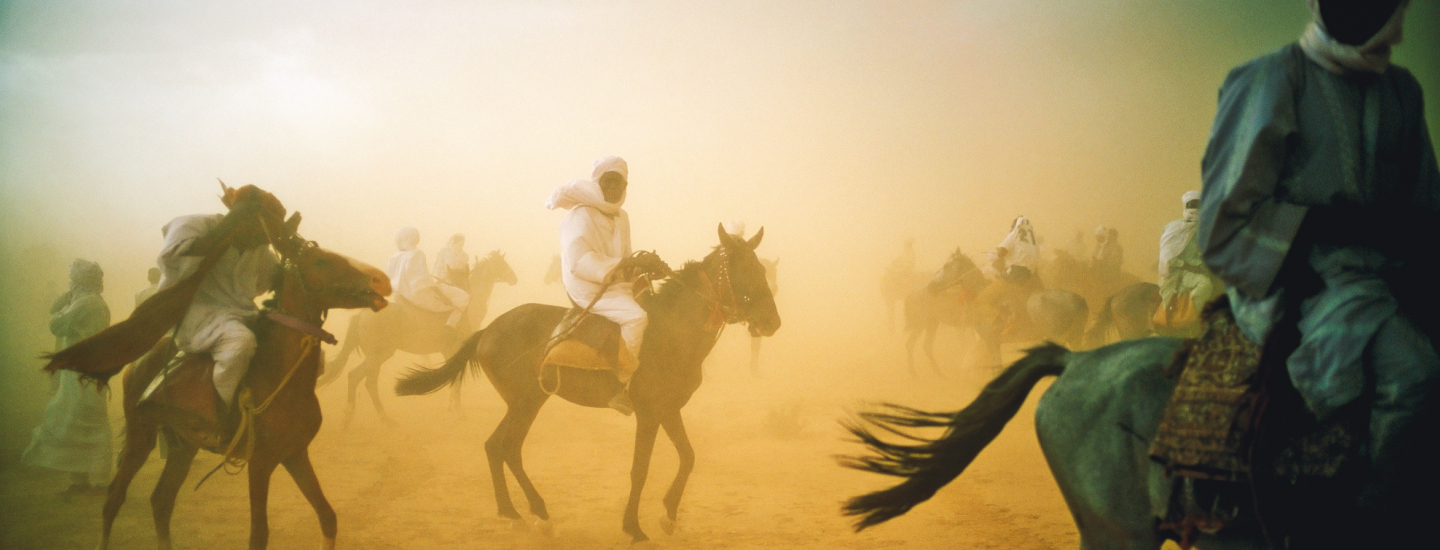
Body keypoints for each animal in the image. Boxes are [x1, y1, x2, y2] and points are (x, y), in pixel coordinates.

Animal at [97, 213, 391, 550]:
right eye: (321, 261)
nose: (381, 280)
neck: (282, 378)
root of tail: (138, 362)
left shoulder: (294, 454)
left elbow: (328, 517)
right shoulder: (260, 462)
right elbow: (259, 534)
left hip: (183, 444)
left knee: (161, 500)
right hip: (141, 433)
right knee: (114, 498)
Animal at [321, 249, 518, 420]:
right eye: (501, 263)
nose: (514, 278)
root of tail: (361, 315)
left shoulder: (449, 351)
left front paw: (452, 407)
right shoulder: (454, 348)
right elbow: (454, 379)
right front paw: (458, 411)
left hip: (375, 355)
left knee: (369, 382)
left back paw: (384, 419)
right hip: (380, 354)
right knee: (356, 377)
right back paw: (352, 417)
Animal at [394, 223, 783, 541]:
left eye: (762, 268)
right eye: (744, 269)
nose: (772, 322)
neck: (672, 331)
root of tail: (487, 330)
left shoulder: (668, 409)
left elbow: (688, 457)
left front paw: (669, 515)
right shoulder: (648, 413)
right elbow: (640, 469)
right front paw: (633, 526)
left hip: (528, 401)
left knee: (499, 447)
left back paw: (519, 512)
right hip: (526, 401)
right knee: (505, 447)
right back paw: (529, 513)